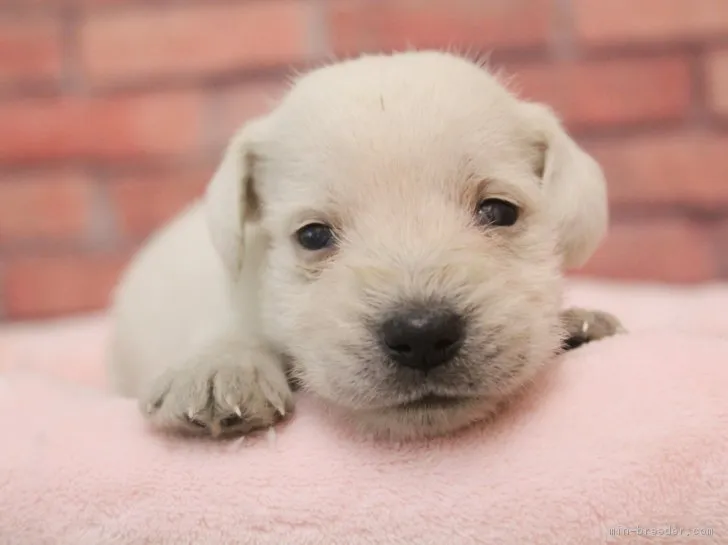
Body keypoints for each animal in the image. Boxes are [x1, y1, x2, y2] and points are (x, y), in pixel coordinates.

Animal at [106, 51, 620, 440]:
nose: (422, 334)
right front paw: (220, 369)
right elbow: (231, 332)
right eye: (312, 235)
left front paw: (578, 324)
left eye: (499, 211)